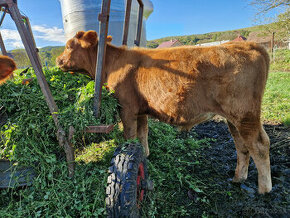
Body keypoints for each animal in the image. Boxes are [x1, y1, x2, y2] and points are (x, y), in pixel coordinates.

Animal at [57, 30, 272, 194]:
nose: (58, 60)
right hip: (235, 118)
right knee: (243, 145)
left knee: (259, 145)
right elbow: (142, 134)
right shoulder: (141, 110)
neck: (113, 64)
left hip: (244, 114)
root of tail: (250, 45)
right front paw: (144, 155)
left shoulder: (126, 109)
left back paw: (264, 189)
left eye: (69, 46)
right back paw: (238, 178)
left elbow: (129, 136)